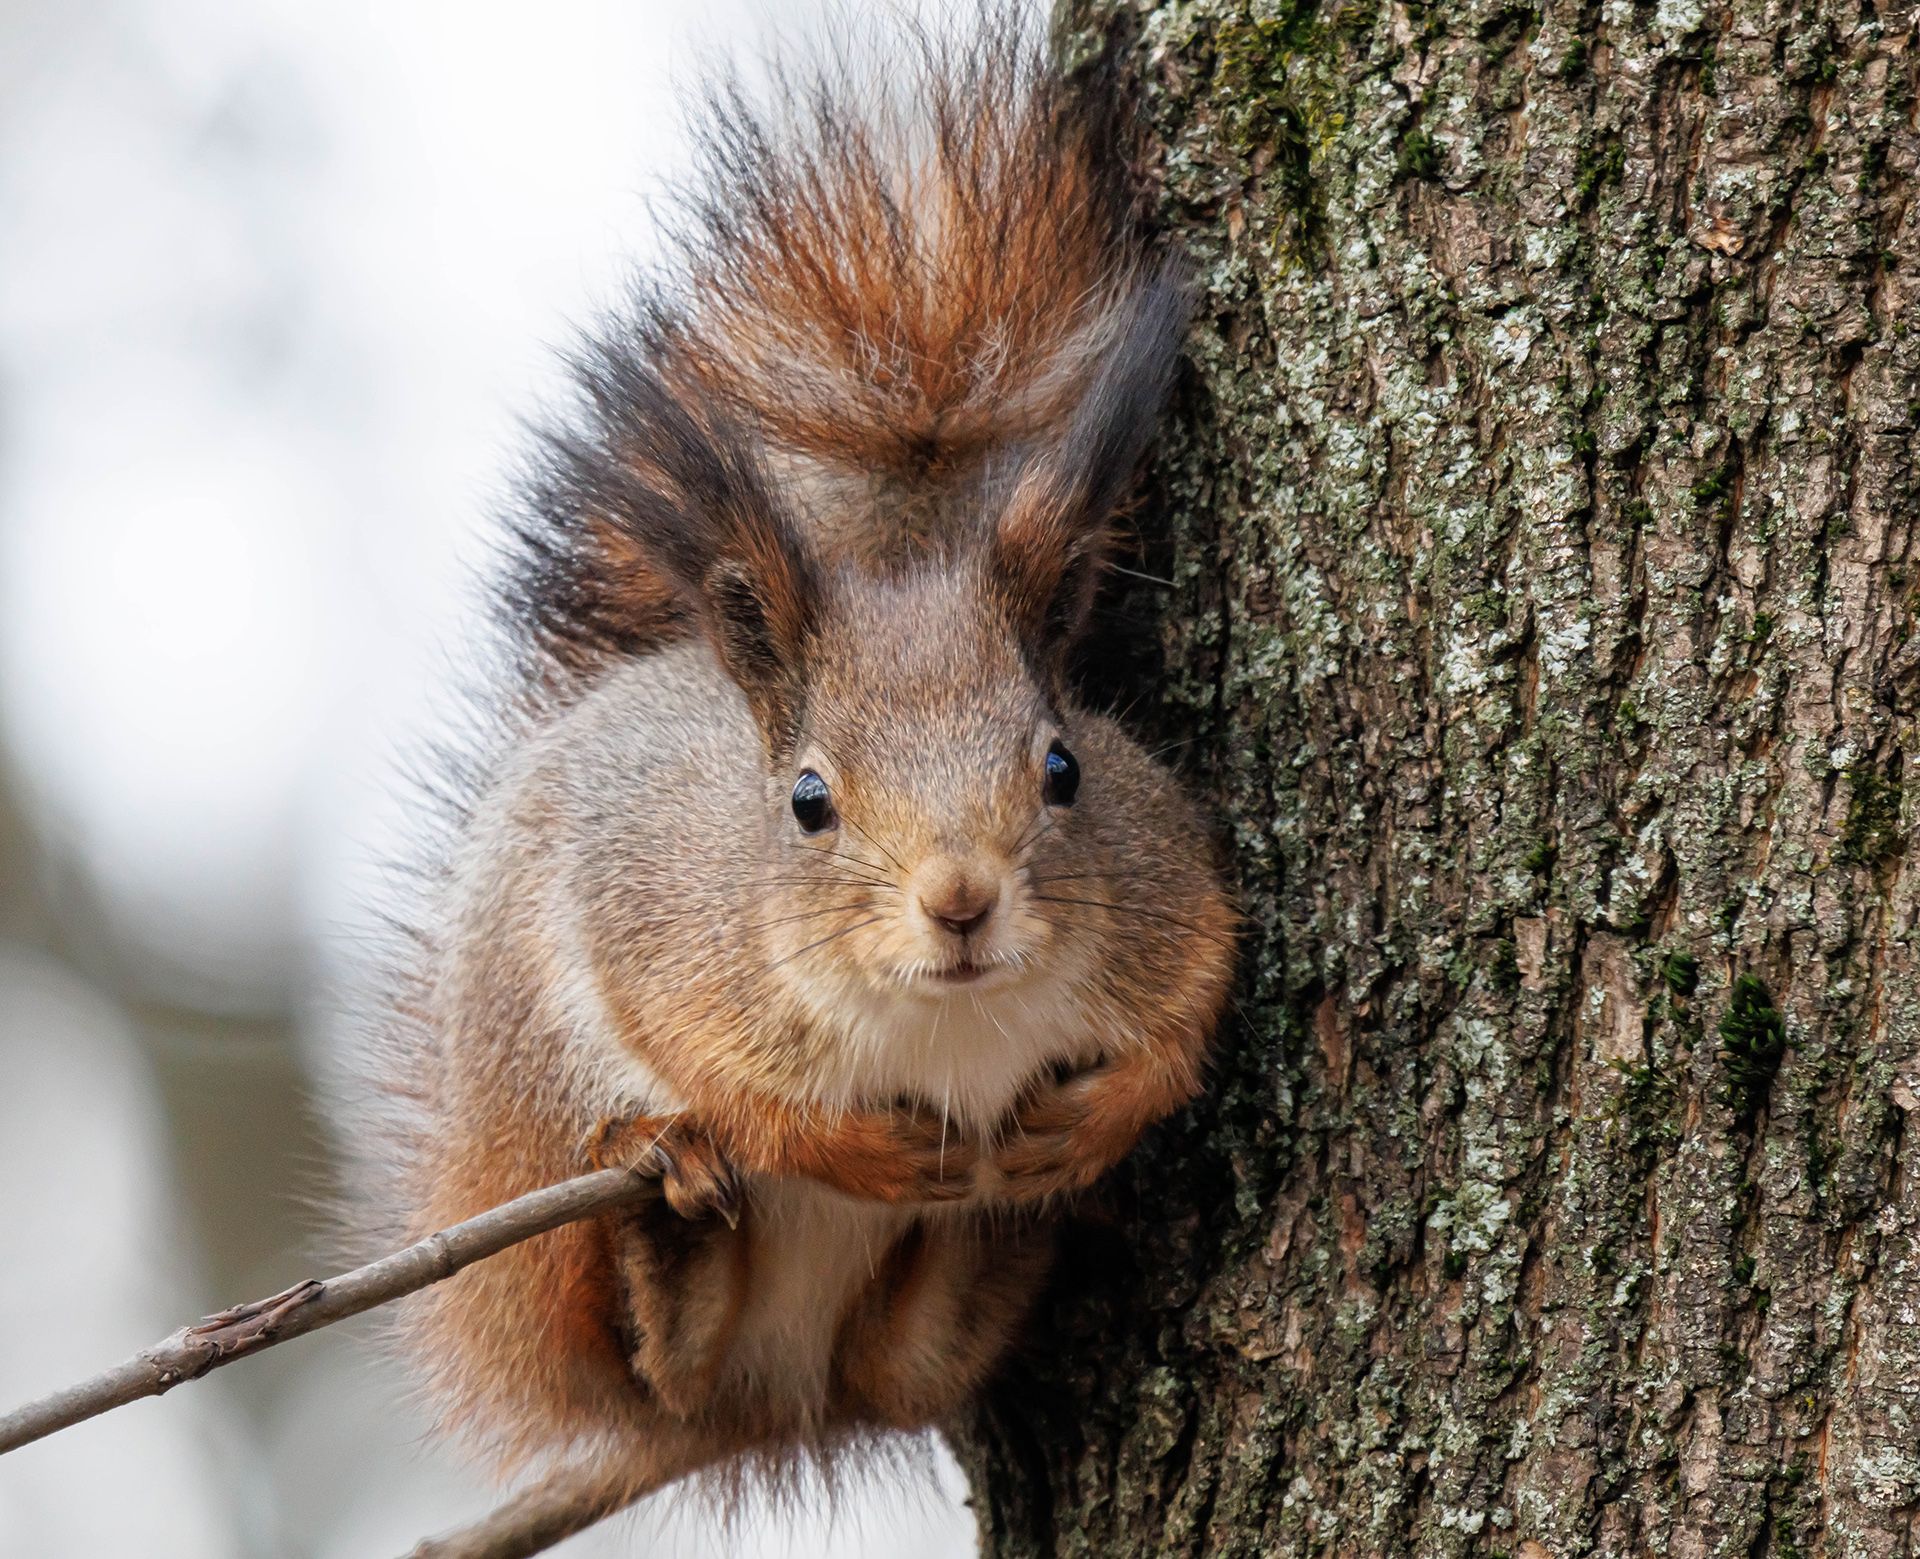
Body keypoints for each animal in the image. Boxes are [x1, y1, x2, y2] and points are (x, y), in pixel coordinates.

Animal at [351, 9, 1236, 1543]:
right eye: (809, 800)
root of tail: (781, 1404)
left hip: (885, 1343)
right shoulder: (665, 929)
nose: (960, 899)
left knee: (909, 1357)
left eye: (1064, 764)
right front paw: (843, 1144)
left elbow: (1197, 1001)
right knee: (654, 1351)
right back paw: (664, 1229)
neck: (946, 1022)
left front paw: (1106, 1111)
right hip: (538, 1129)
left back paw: (1017, 1220)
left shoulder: (1170, 893)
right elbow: (734, 1075)